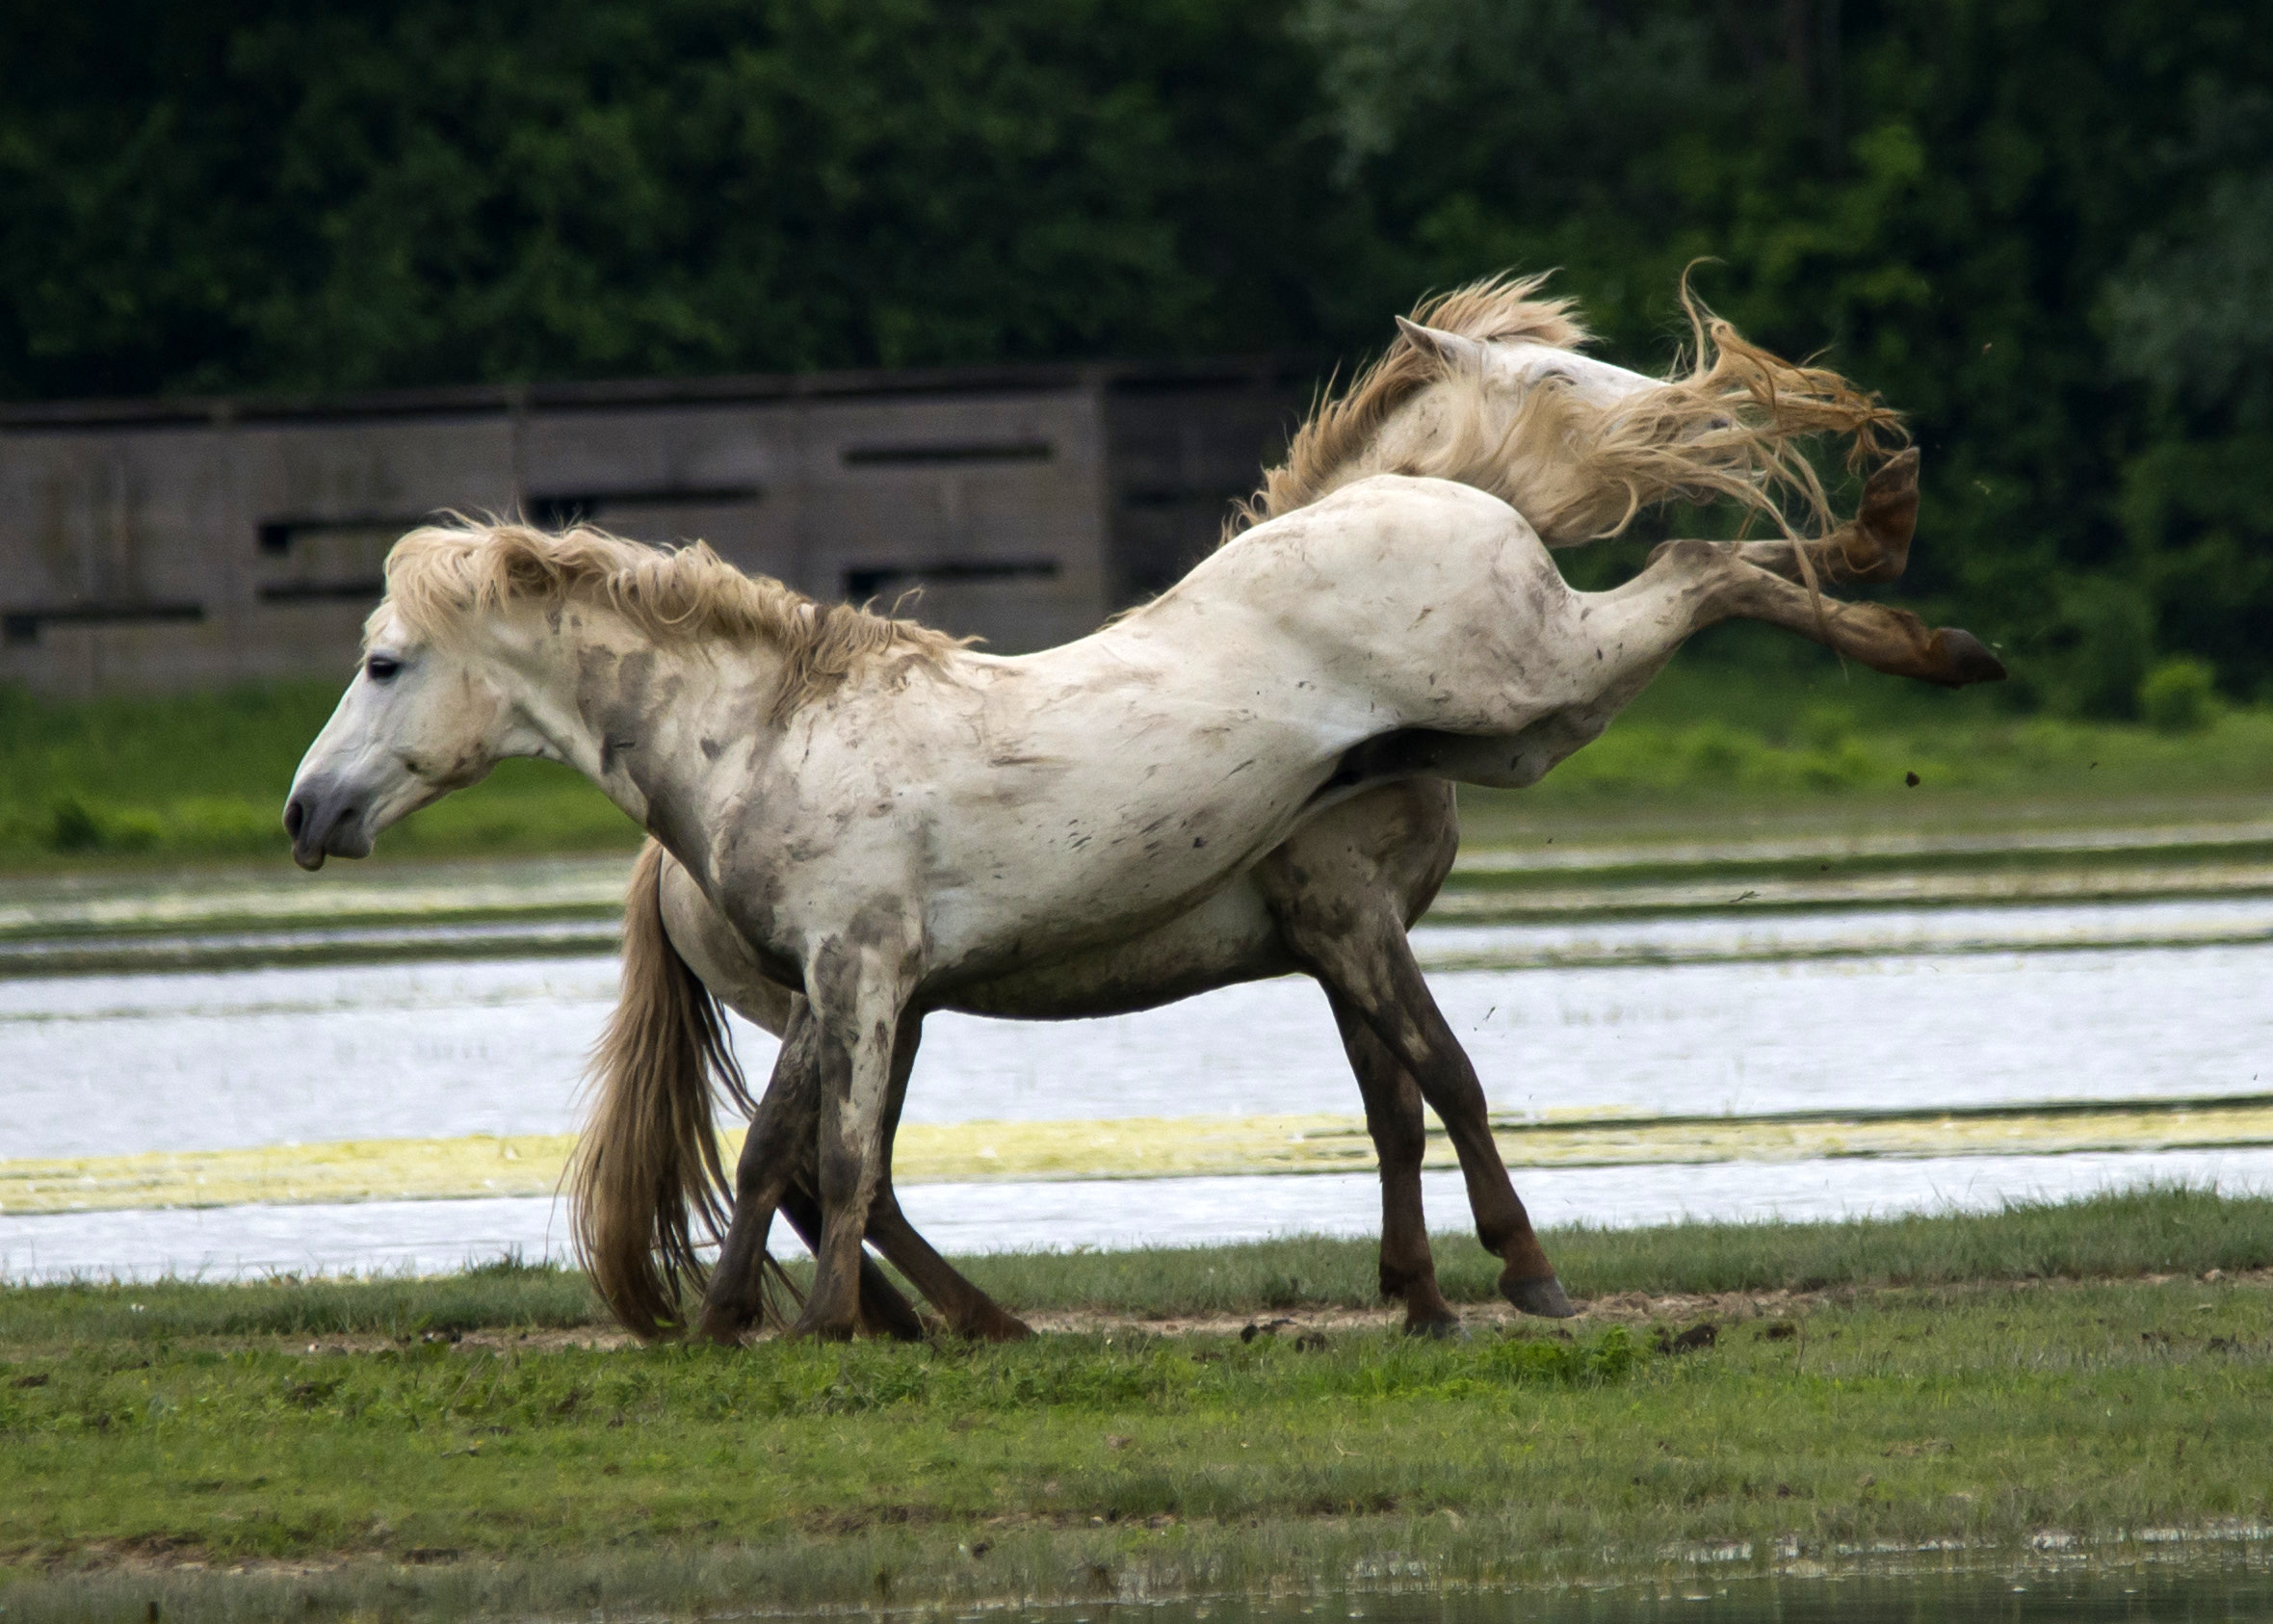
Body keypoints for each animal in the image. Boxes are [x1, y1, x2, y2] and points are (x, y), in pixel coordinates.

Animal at [284, 342, 2003, 1343]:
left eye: (382, 662)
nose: (307, 813)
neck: (769, 730)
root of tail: (1447, 504)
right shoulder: (861, 986)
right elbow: (814, 1158)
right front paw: (766, 1334)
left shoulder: (867, 972)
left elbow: (828, 1159)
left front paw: (817, 1334)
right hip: (1526, 717)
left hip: (1539, 694)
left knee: (1714, 564)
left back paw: (1919, 605)